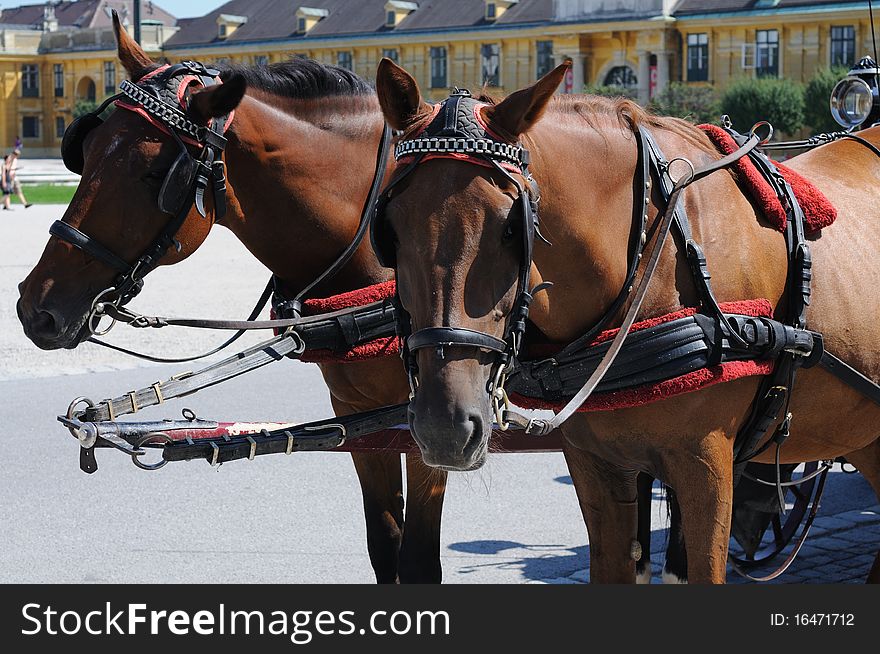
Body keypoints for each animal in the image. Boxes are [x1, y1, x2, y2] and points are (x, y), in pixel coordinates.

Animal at [18, 18, 446, 588]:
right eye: (84, 154)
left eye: (154, 173)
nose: (35, 305)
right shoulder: (359, 413)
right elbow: (385, 545)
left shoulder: (434, 423)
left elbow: (418, 560)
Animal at [374, 60, 880, 584]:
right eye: (390, 229)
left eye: (512, 227)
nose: (444, 426)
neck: (656, 257)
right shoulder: (597, 466)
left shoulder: (707, 466)